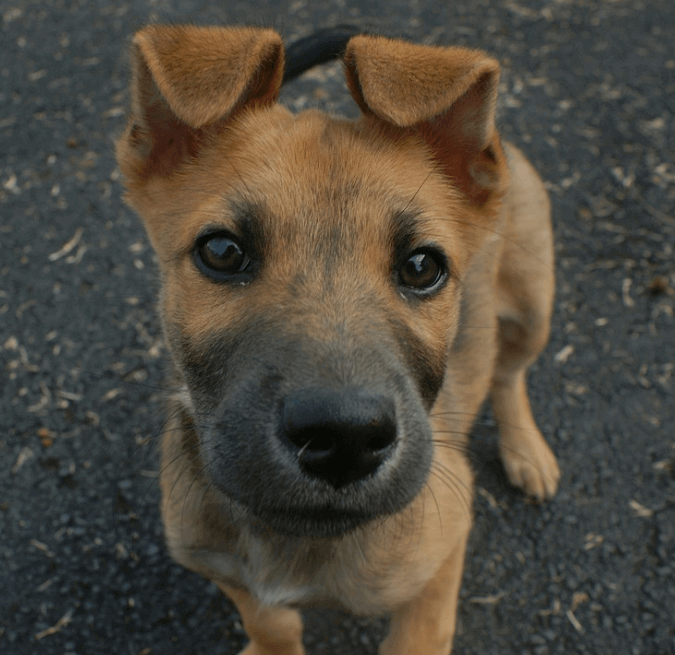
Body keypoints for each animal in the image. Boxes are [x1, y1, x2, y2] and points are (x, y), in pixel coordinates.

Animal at [115, 25, 560, 655]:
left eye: (423, 266)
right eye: (221, 251)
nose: (346, 439)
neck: (288, 535)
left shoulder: (443, 552)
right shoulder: (223, 565)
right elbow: (271, 622)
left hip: (531, 303)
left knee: (509, 372)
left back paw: (527, 450)